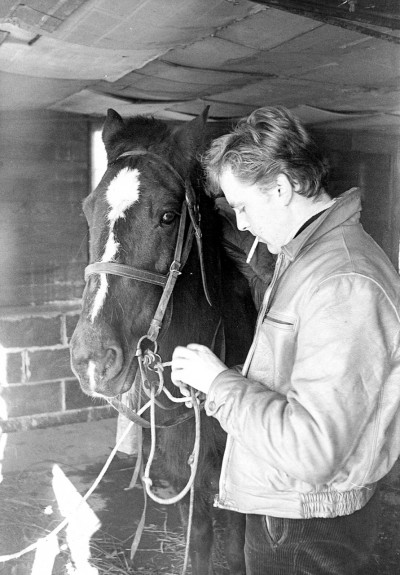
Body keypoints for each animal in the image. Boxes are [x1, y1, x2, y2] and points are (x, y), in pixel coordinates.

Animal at [70, 109, 260, 575]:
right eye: (87, 209)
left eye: (169, 216)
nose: (93, 359)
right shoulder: (186, 478)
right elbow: (198, 541)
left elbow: (235, 547)